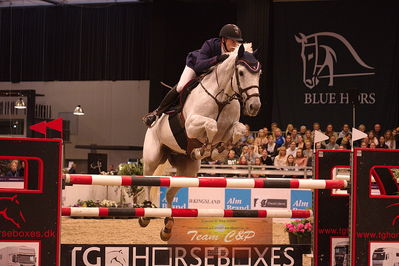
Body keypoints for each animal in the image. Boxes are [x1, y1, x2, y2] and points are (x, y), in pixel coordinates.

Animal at [141, 43, 262, 241]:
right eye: (241, 72)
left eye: (259, 73)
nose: (254, 106)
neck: (221, 98)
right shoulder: (191, 125)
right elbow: (211, 125)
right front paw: (205, 149)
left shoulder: (232, 127)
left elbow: (238, 130)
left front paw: (218, 150)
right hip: (152, 157)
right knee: (148, 180)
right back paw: (145, 212)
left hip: (188, 171)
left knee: (170, 192)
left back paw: (168, 226)